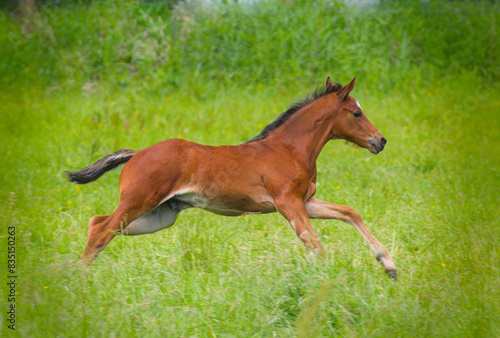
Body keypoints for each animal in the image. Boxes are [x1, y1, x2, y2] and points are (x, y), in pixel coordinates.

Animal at [66, 78, 396, 278]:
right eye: (356, 113)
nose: (380, 141)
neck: (289, 149)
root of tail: (136, 155)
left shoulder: (306, 202)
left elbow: (349, 212)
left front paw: (388, 264)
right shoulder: (288, 203)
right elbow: (316, 245)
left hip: (158, 216)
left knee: (97, 224)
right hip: (139, 202)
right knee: (101, 231)